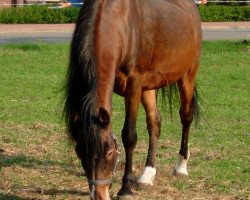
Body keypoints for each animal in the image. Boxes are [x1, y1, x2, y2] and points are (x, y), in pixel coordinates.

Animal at [64, 0, 201, 199]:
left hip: (187, 76)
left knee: (186, 116)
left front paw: (125, 188)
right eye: (79, 151)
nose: (100, 194)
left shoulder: (134, 84)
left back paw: (181, 166)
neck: (121, 22)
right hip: (148, 87)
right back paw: (147, 174)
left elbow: (129, 136)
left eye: (109, 152)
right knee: (154, 122)